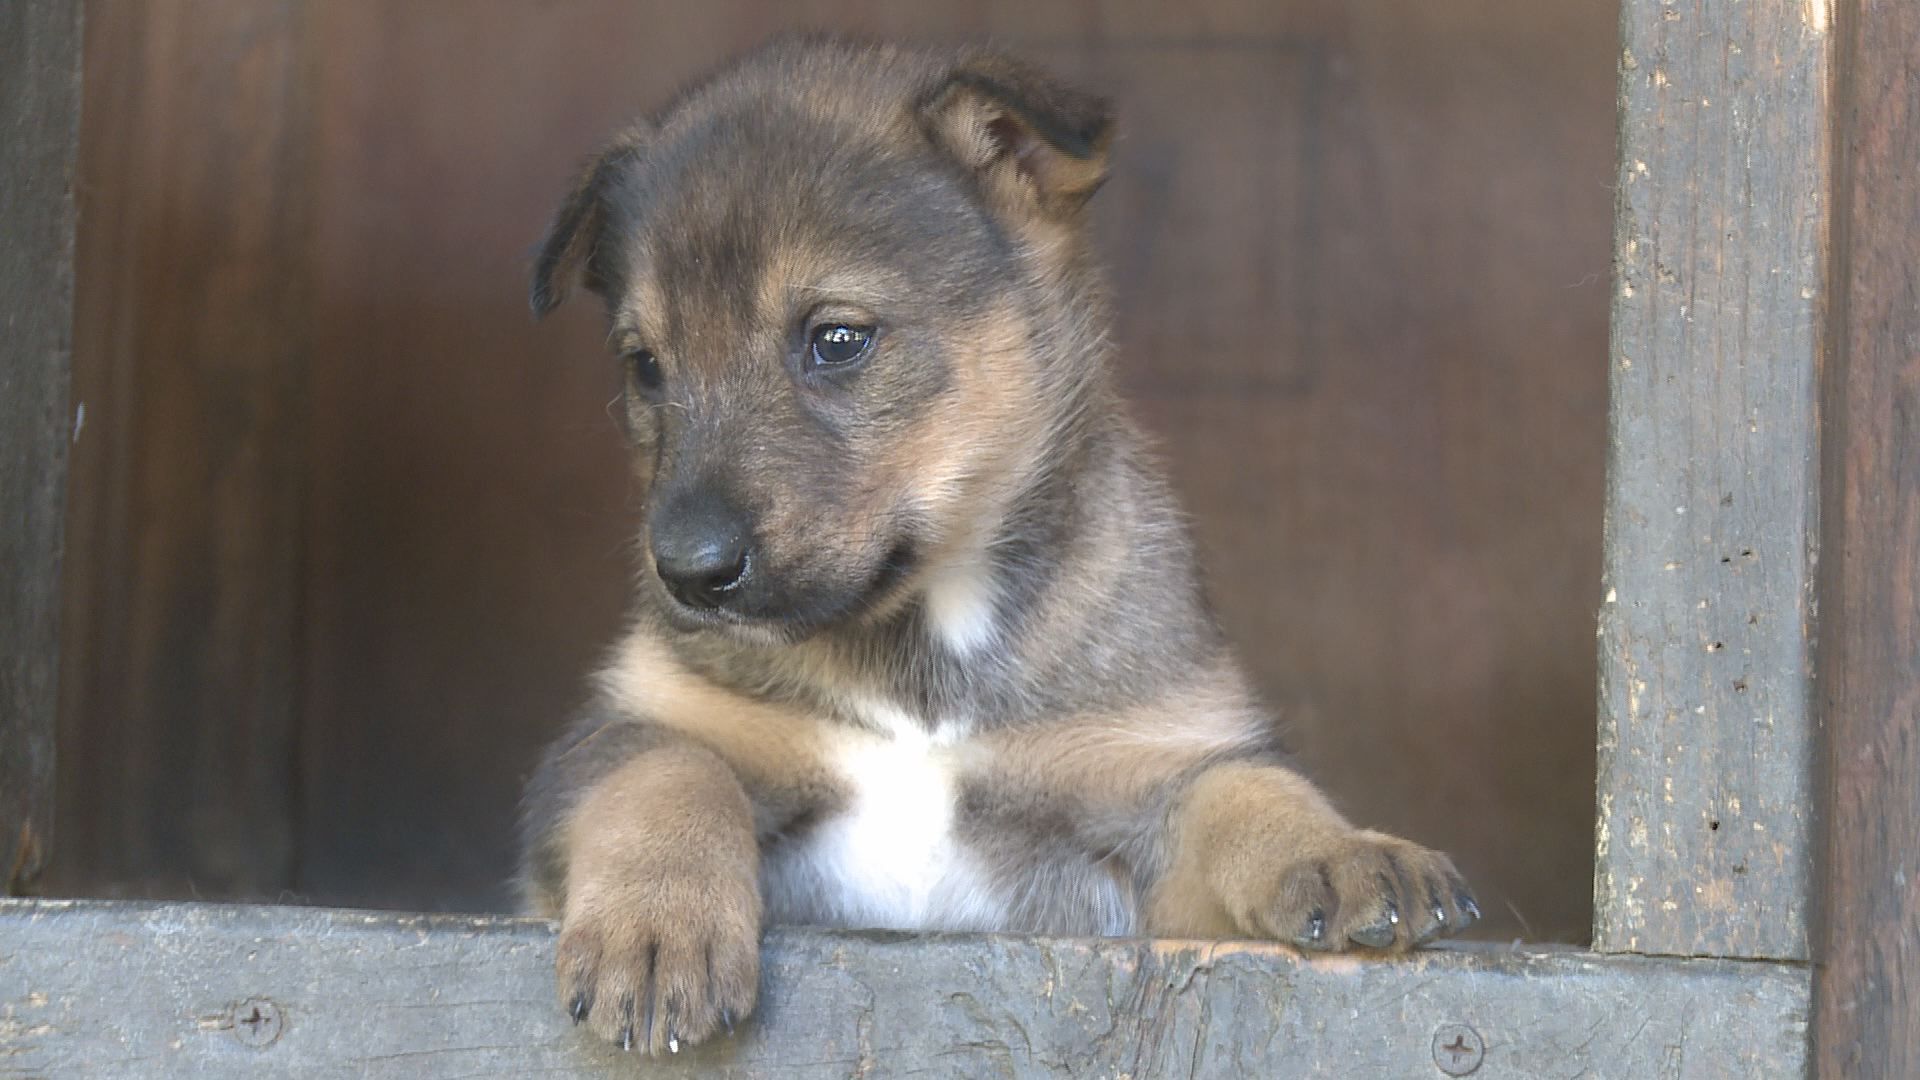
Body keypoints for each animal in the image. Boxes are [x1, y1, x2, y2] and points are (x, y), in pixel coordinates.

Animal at [518, 35, 1474, 1053]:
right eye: (645, 367)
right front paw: (659, 925)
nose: (687, 574)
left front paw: (1345, 849)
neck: (921, 660)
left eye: (837, 339)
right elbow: (668, 774)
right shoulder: (630, 729)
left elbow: (1242, 789)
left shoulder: (1141, 789)